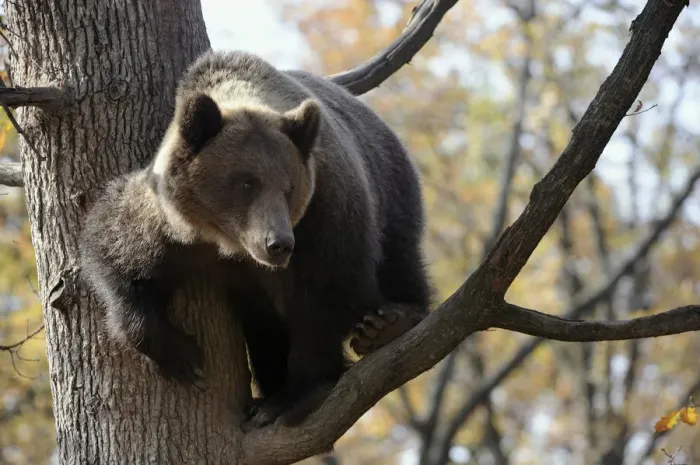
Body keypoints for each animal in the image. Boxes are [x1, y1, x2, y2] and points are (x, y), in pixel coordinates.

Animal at [78, 50, 432, 428]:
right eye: (247, 183)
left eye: (289, 188)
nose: (278, 244)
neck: (227, 242)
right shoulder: (171, 223)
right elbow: (120, 255)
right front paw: (183, 359)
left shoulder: (325, 214)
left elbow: (326, 294)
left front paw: (295, 396)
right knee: (263, 327)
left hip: (390, 186)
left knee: (398, 256)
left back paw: (389, 322)